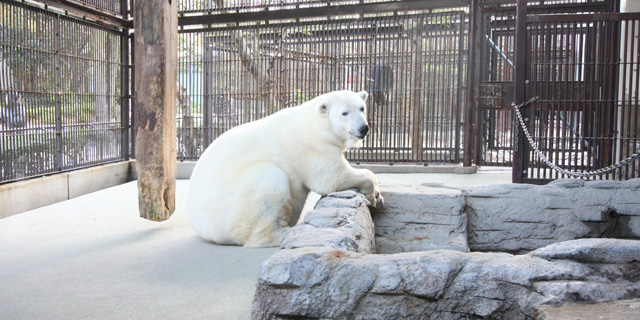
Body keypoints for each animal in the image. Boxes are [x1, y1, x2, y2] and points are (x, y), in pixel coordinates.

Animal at [188, 90, 382, 248]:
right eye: (344, 113)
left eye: (362, 108)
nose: (363, 128)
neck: (315, 124)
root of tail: (202, 227)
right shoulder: (312, 147)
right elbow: (332, 178)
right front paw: (373, 195)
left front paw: (379, 197)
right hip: (235, 204)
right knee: (270, 182)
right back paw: (289, 233)